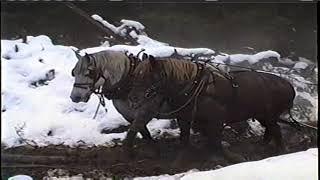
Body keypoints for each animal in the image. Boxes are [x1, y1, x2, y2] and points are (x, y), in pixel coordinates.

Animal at [127, 56, 298, 159]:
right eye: (135, 75)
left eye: (148, 76)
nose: (132, 98)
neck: (195, 87)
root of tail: (289, 86)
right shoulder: (184, 119)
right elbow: (185, 140)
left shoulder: (216, 121)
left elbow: (215, 142)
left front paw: (223, 157)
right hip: (262, 115)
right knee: (270, 130)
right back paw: (261, 147)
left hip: (270, 115)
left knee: (276, 130)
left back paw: (280, 151)